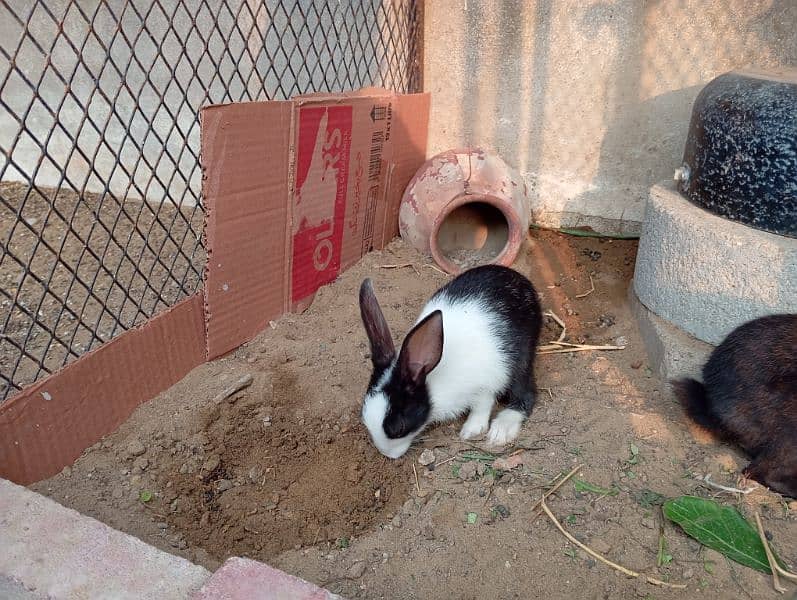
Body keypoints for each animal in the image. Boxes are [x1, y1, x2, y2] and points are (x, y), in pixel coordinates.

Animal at [360, 264, 540, 458]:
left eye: (399, 427)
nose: (388, 455)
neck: (431, 381)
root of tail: (522, 281)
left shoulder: (485, 384)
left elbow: (483, 405)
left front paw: (471, 430)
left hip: (522, 358)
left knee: (526, 393)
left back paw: (501, 430)